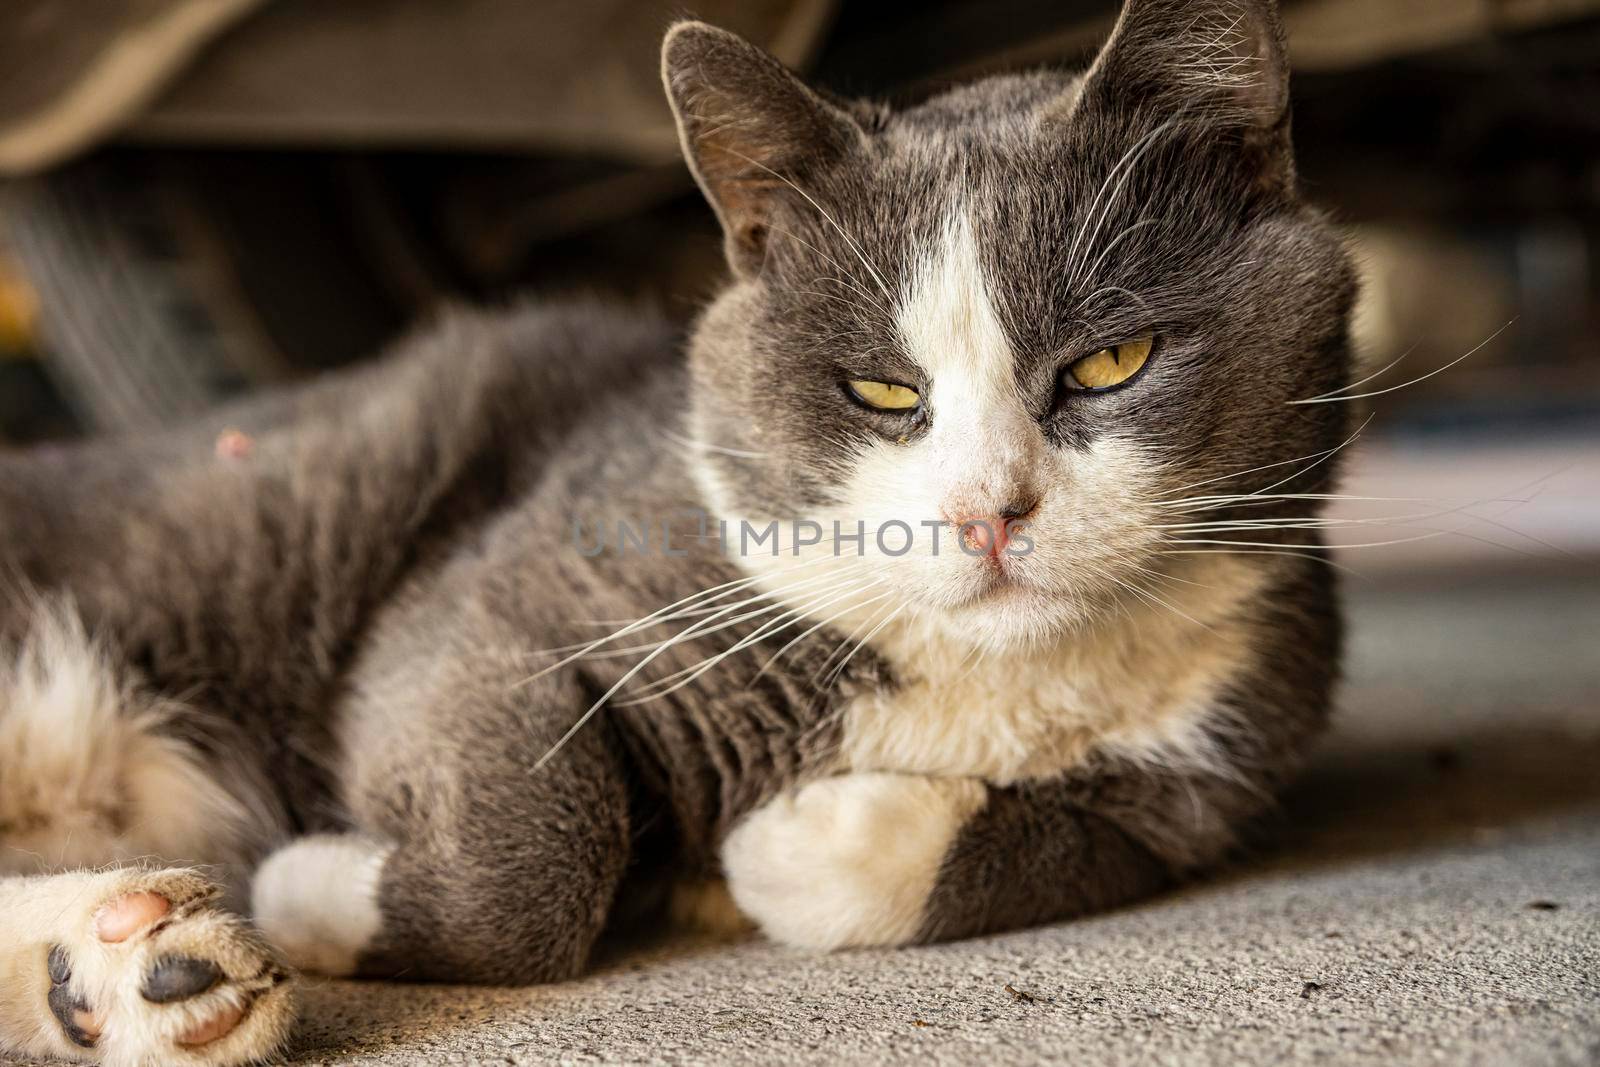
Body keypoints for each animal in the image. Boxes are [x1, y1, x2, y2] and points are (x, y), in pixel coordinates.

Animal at [0, 4, 1363, 1062]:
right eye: (880, 391)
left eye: (1111, 362)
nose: (988, 511)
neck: (983, 669)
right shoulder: (503, 586)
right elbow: (526, 857)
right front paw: (301, 884)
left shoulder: (1229, 738)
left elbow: (1079, 843)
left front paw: (788, 847)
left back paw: (124, 971)